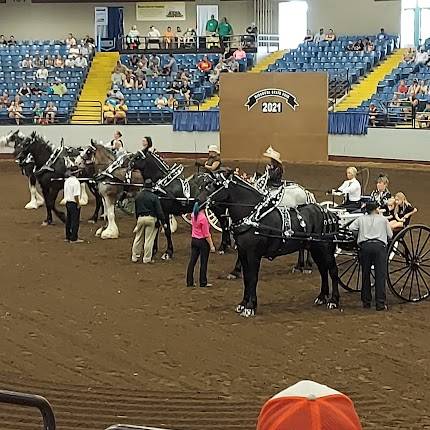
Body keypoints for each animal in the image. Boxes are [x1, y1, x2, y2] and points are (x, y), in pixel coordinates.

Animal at [199, 170, 342, 316]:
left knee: (333, 271)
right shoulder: (243, 253)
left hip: (325, 250)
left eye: (216, 185)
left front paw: (250, 306)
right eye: (208, 184)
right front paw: (243, 304)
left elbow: (253, 278)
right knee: (323, 270)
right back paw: (321, 296)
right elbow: (246, 278)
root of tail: (327, 212)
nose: (198, 200)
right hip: (316, 249)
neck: (253, 217)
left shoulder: (253, 255)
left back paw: (333, 300)